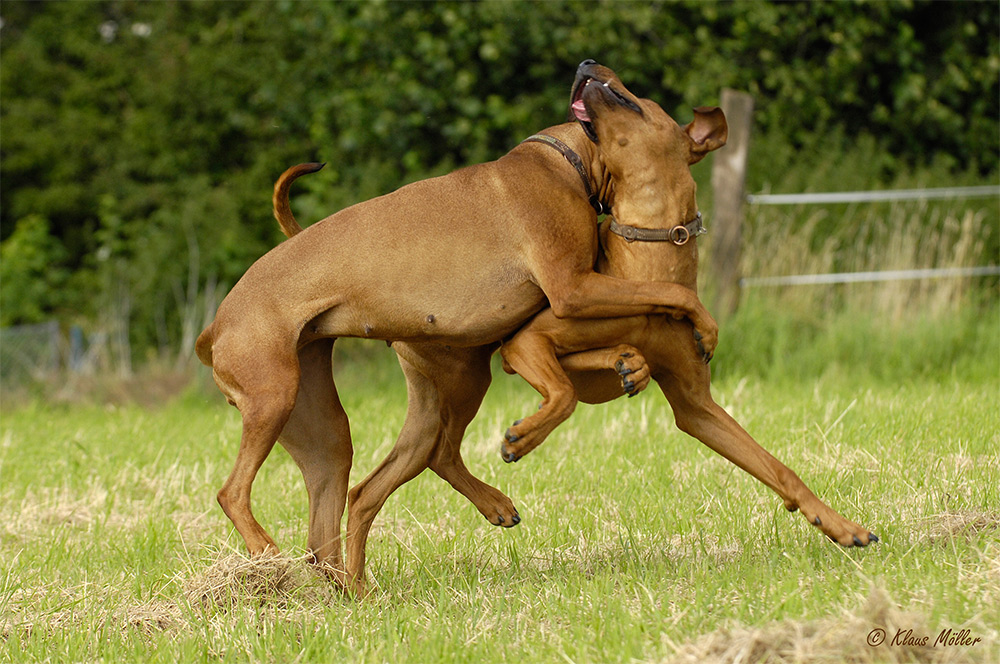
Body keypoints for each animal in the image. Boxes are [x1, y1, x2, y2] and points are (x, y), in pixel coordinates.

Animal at [199, 62, 720, 592]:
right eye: (641, 97)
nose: (587, 65)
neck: (563, 158)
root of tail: (215, 327)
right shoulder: (572, 287)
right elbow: (673, 295)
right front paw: (704, 328)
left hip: (336, 429)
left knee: (350, 510)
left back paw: (359, 589)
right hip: (278, 394)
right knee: (234, 492)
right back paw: (268, 557)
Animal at [498, 76, 876, 548]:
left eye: (637, 97)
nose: (587, 67)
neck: (646, 267)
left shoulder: (697, 406)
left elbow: (776, 466)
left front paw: (840, 524)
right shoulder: (522, 341)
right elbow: (563, 393)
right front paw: (521, 438)